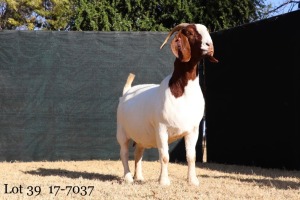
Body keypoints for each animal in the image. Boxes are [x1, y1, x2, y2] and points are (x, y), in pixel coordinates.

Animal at [116, 22, 218, 185]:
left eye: (206, 31)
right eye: (190, 32)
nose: (210, 45)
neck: (181, 93)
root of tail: (126, 92)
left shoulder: (193, 130)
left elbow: (191, 156)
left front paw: (193, 181)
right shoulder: (161, 128)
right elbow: (164, 156)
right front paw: (164, 181)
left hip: (141, 135)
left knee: (138, 152)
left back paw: (139, 177)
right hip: (122, 131)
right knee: (124, 153)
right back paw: (128, 178)